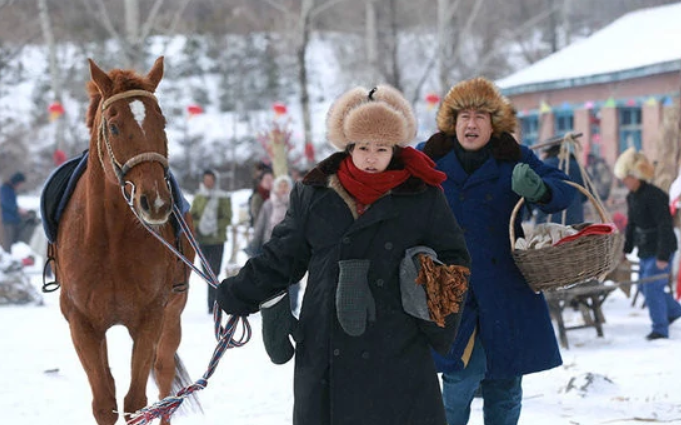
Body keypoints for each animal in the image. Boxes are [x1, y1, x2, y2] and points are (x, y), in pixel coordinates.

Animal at [54, 56, 195, 424]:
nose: (156, 202)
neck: (111, 241)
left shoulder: (150, 318)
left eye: (162, 121)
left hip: (173, 317)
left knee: (164, 381)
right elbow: (105, 402)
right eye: (114, 127)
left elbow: (136, 402)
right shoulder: (83, 324)